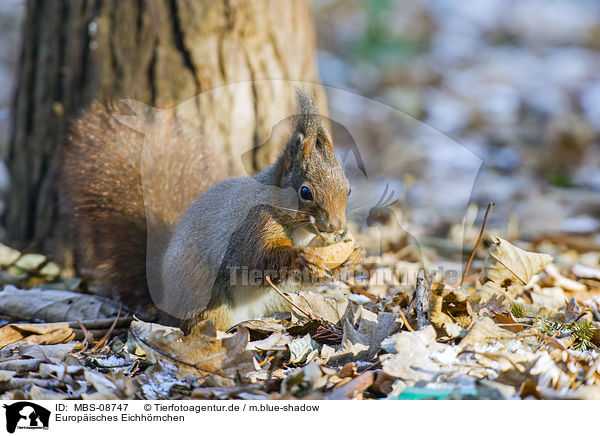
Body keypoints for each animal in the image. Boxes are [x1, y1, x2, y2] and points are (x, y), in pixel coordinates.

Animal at [62, 93, 356, 330]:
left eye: (349, 189)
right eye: (305, 192)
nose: (336, 227)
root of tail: (163, 299)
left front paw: (349, 259)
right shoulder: (252, 226)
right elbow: (257, 260)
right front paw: (302, 257)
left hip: (277, 302)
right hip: (206, 302)